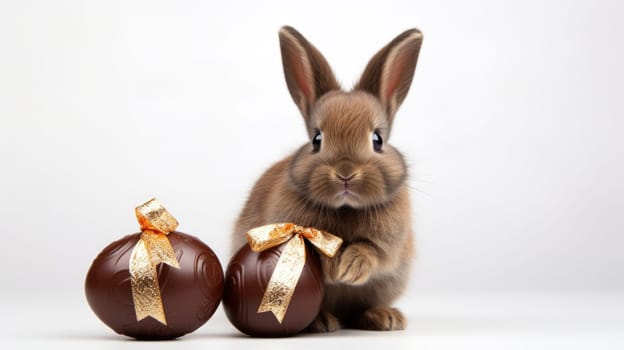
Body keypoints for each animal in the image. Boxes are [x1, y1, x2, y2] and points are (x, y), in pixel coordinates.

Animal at [232, 26, 422, 332]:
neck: (345, 208)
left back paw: (385, 317)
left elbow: (373, 252)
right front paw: (334, 267)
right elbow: (317, 253)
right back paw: (321, 321)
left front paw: (350, 267)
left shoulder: (389, 244)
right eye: (317, 139)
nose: (345, 173)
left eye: (377, 140)